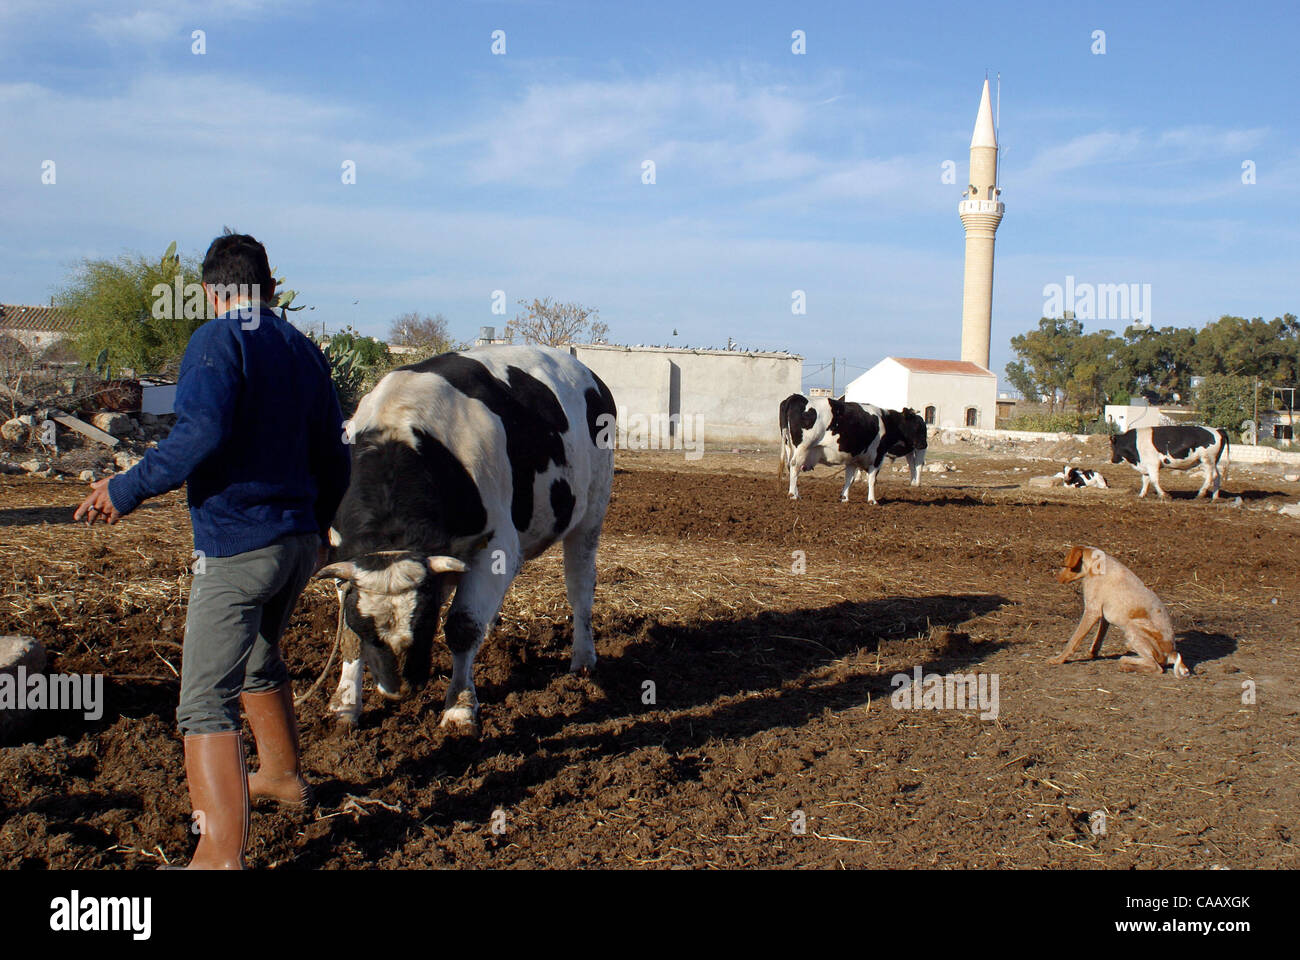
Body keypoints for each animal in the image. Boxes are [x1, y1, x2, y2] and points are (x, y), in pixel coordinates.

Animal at [317, 343, 616, 723]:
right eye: (366, 627)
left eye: (427, 617)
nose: (399, 688)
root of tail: (588, 374)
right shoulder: (346, 557)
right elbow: (347, 634)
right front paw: (345, 702)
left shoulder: (496, 545)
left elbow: (462, 626)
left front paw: (459, 708)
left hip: (591, 512)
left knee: (580, 586)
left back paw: (583, 657)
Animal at [1055, 546, 1190, 671]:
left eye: (1065, 564)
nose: (1057, 578)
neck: (1097, 563)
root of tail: (1172, 653)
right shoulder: (1104, 618)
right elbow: (1098, 638)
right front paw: (1092, 653)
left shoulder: (1092, 611)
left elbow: (1074, 640)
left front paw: (1058, 659)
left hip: (1132, 629)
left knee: (1155, 666)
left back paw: (1126, 663)